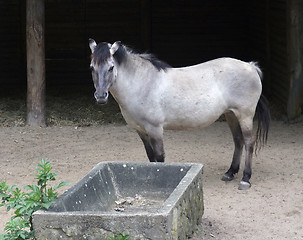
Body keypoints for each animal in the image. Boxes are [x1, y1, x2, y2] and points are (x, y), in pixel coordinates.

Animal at [88, 39, 270, 189]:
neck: (142, 83)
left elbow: (159, 156)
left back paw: (245, 179)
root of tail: (251, 66)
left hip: (245, 115)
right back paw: (230, 173)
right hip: (231, 114)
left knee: (249, 142)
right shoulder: (140, 130)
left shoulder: (155, 129)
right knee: (238, 140)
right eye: (92, 67)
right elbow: (150, 156)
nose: (101, 96)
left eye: (111, 67)